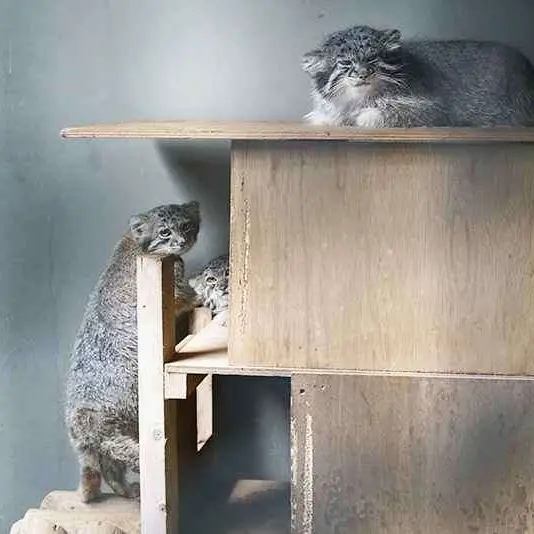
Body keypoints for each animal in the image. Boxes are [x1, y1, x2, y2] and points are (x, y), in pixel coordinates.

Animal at [64, 203, 201, 504]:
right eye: (165, 232)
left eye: (187, 225)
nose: (182, 241)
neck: (132, 240)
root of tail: (78, 421)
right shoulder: (175, 286)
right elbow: (189, 294)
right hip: (120, 426)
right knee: (124, 453)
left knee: (109, 467)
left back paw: (125, 490)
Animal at [304, 25, 534, 129]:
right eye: (346, 63)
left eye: (372, 58)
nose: (363, 73)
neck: (360, 99)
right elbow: (328, 116)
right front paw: (328, 118)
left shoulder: (432, 109)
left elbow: (384, 113)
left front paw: (362, 117)